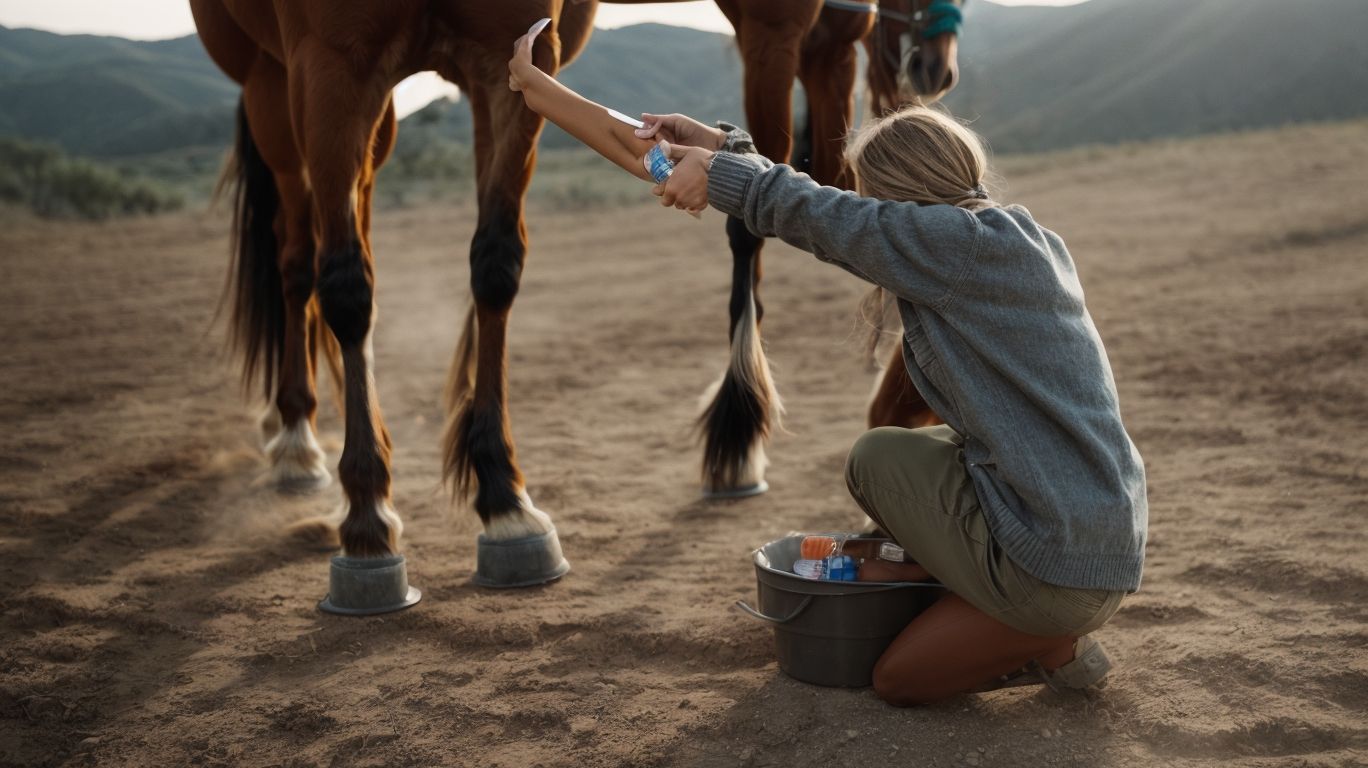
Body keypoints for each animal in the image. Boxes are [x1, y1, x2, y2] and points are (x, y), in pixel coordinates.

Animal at [189, 0, 962, 584]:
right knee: (300, 262)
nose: (935, 64)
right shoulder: (330, 62)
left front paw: (501, 495)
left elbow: (496, 264)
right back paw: (297, 439)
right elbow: (346, 288)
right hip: (275, 86)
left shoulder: (508, 58)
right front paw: (368, 518)